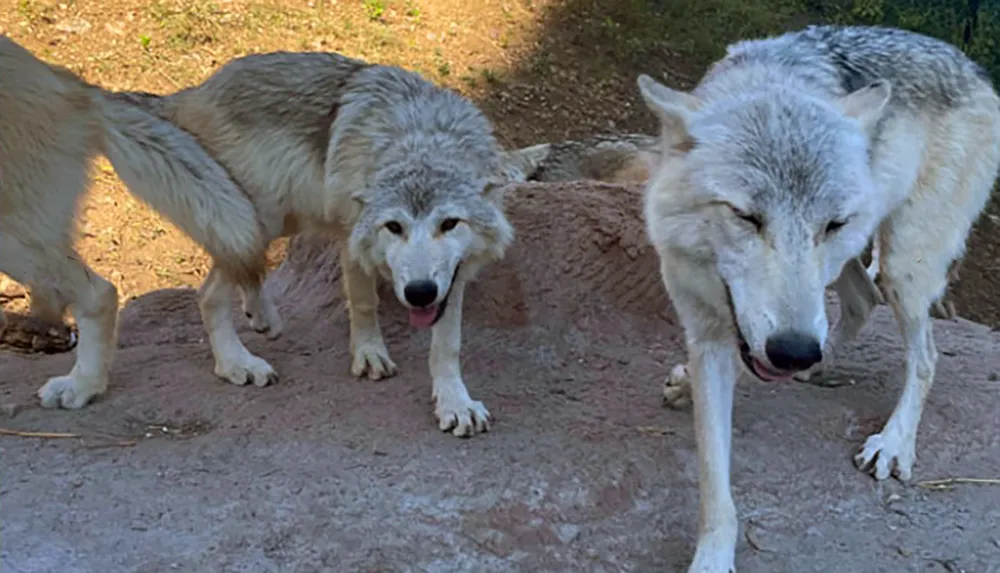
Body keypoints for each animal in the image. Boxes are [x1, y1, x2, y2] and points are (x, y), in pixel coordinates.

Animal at [1, 38, 543, 437]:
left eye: (450, 224)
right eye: (394, 227)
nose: (418, 293)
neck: (421, 136)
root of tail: (191, 92)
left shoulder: (451, 278)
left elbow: (445, 345)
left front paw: (455, 402)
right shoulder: (353, 238)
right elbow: (364, 303)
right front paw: (369, 354)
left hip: (273, 219)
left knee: (238, 274)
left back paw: (256, 321)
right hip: (254, 216)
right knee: (209, 291)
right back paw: (237, 360)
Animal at [637, 24, 1000, 573]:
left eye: (829, 223)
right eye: (746, 216)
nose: (794, 352)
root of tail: (974, 69)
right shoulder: (707, 333)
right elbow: (714, 477)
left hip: (903, 264)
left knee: (925, 356)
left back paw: (893, 441)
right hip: (860, 258)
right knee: (862, 300)